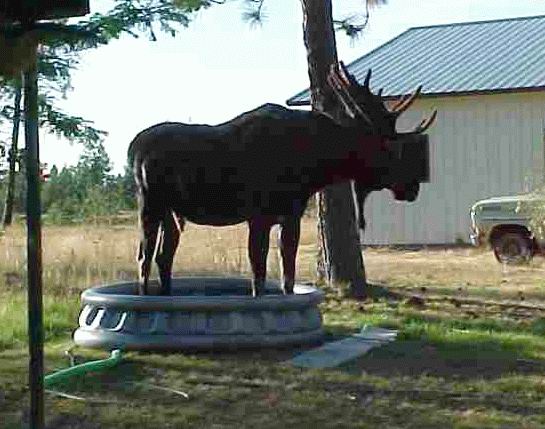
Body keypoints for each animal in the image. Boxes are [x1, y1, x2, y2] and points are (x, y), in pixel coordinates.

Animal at [129, 62, 434, 298]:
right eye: (389, 148)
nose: (413, 187)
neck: (314, 166)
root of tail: (133, 149)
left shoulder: (291, 214)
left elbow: (287, 272)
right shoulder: (258, 215)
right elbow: (259, 274)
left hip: (171, 211)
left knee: (163, 256)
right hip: (150, 202)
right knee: (144, 256)